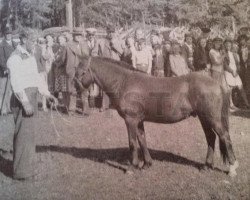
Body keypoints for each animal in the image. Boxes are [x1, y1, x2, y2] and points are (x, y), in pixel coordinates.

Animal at [75, 55, 238, 177]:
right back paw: (206, 166)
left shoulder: (130, 120)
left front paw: (132, 167)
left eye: (82, 71)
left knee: (225, 137)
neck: (124, 82)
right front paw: (146, 164)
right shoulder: (139, 121)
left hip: (212, 118)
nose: (76, 88)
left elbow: (132, 143)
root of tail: (217, 84)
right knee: (211, 138)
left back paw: (232, 168)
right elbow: (142, 140)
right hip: (204, 118)